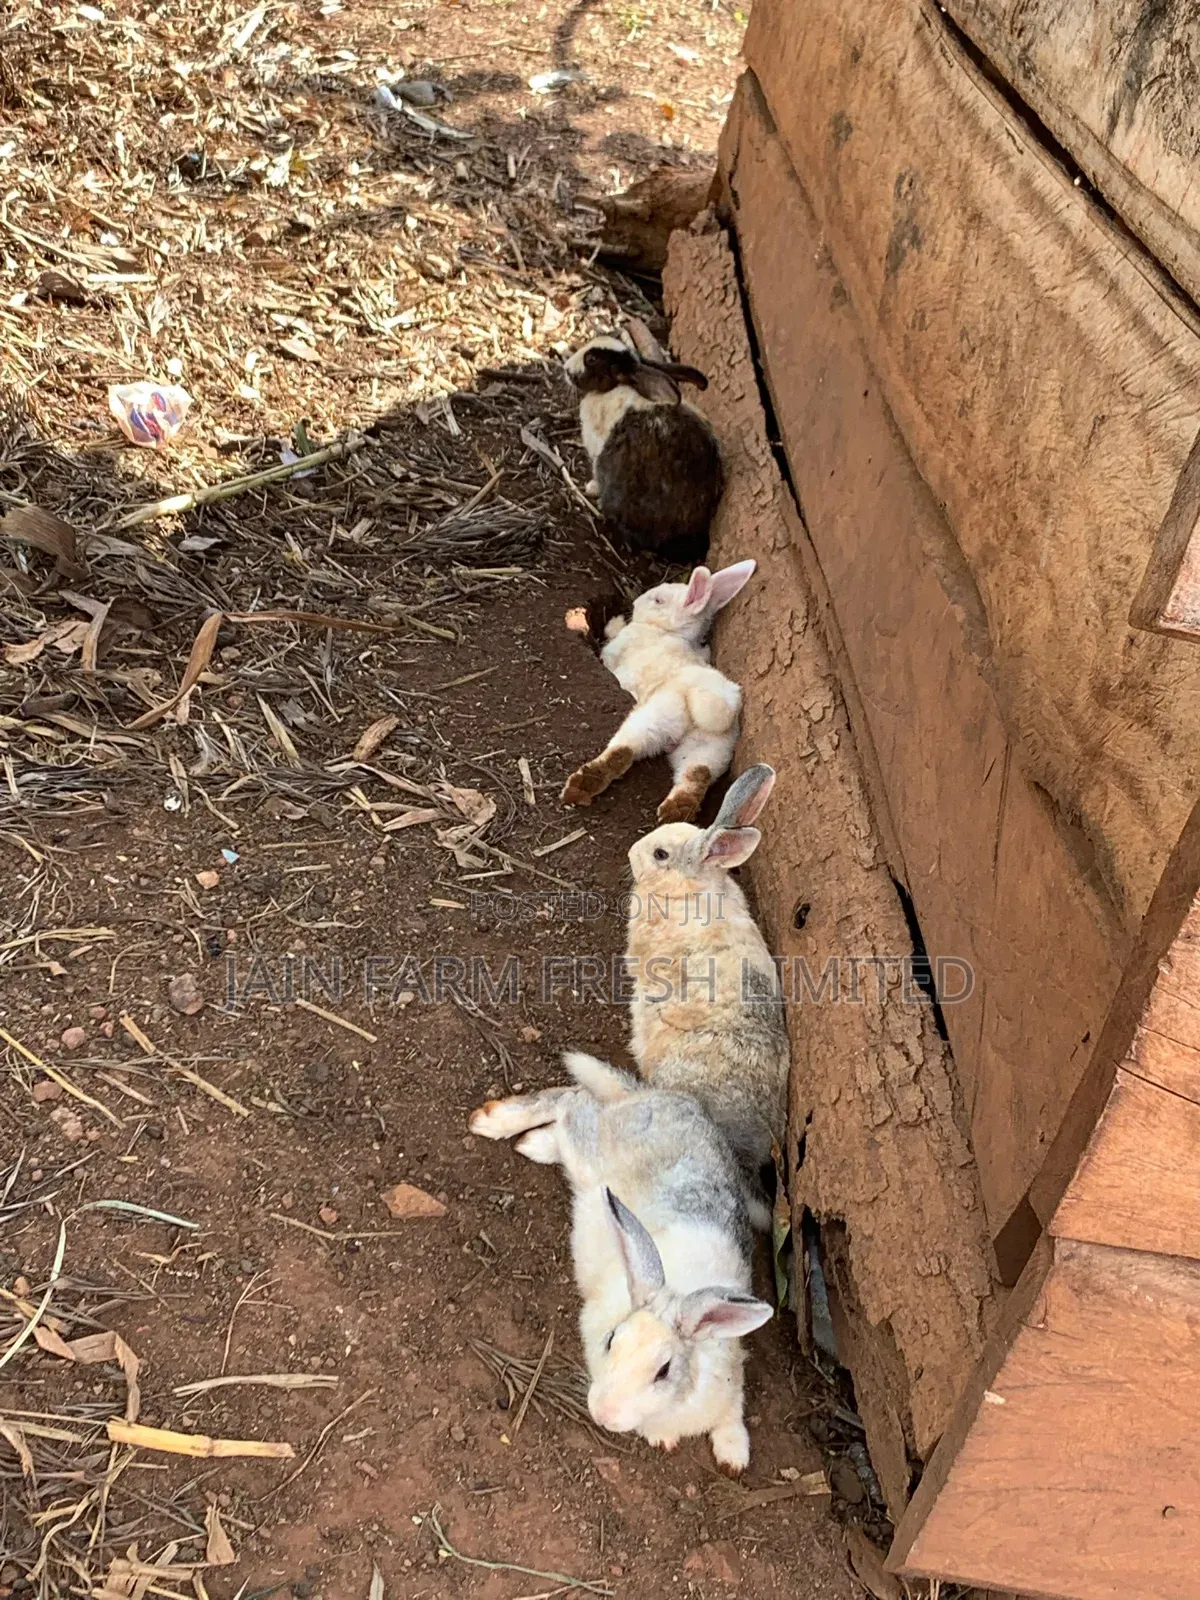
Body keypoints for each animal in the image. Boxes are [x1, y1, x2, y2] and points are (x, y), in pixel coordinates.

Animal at [470, 1049, 774, 1473]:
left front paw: (733, 1457)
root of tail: (661, 1097)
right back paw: (494, 1122)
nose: (604, 1414)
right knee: (570, 1100)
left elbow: (732, 1414)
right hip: (590, 1150)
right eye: (612, 1340)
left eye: (664, 1371)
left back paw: (535, 1144)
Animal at [561, 560, 757, 823]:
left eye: (658, 600)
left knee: (623, 750)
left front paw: (614, 623)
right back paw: (676, 811)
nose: (634, 604)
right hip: (711, 748)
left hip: (656, 716)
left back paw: (581, 786)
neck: (670, 632)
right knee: (697, 774)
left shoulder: (614, 651)